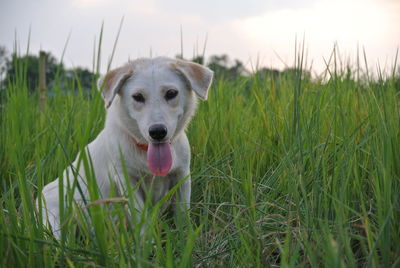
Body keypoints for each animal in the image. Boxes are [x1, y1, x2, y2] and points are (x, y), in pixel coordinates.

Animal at [37, 57, 212, 239]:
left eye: (171, 93)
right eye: (137, 97)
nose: (157, 132)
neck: (143, 150)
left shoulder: (182, 175)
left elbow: (182, 214)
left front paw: (184, 238)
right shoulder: (126, 180)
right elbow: (142, 220)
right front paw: (148, 244)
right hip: (54, 221)